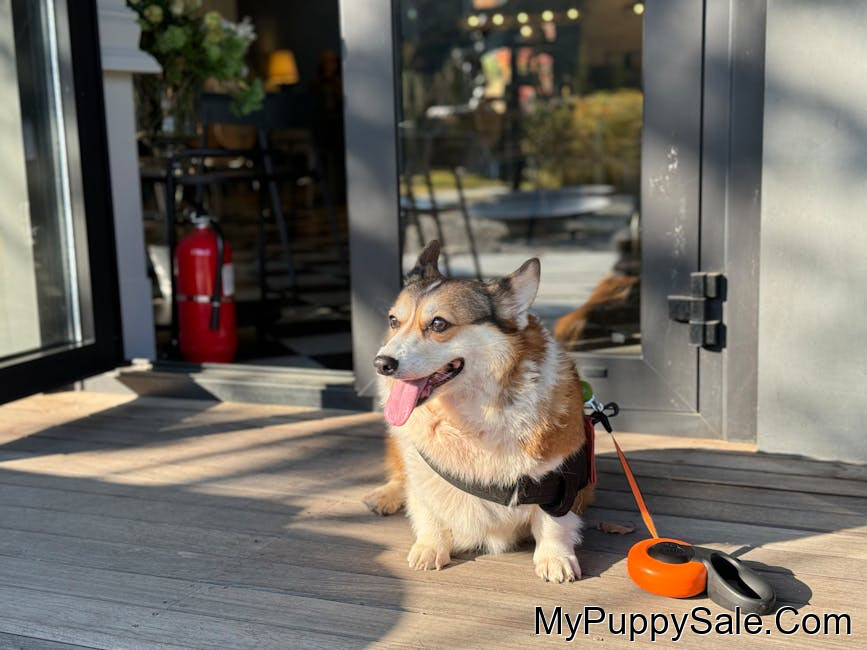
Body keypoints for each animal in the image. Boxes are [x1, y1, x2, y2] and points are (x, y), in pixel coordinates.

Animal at [364, 241, 594, 583]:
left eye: (438, 324)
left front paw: (555, 559)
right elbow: (428, 509)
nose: (381, 364)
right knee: (400, 474)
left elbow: (553, 524)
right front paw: (430, 547)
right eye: (394, 321)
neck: (471, 415)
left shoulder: (559, 479)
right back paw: (384, 496)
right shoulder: (421, 468)